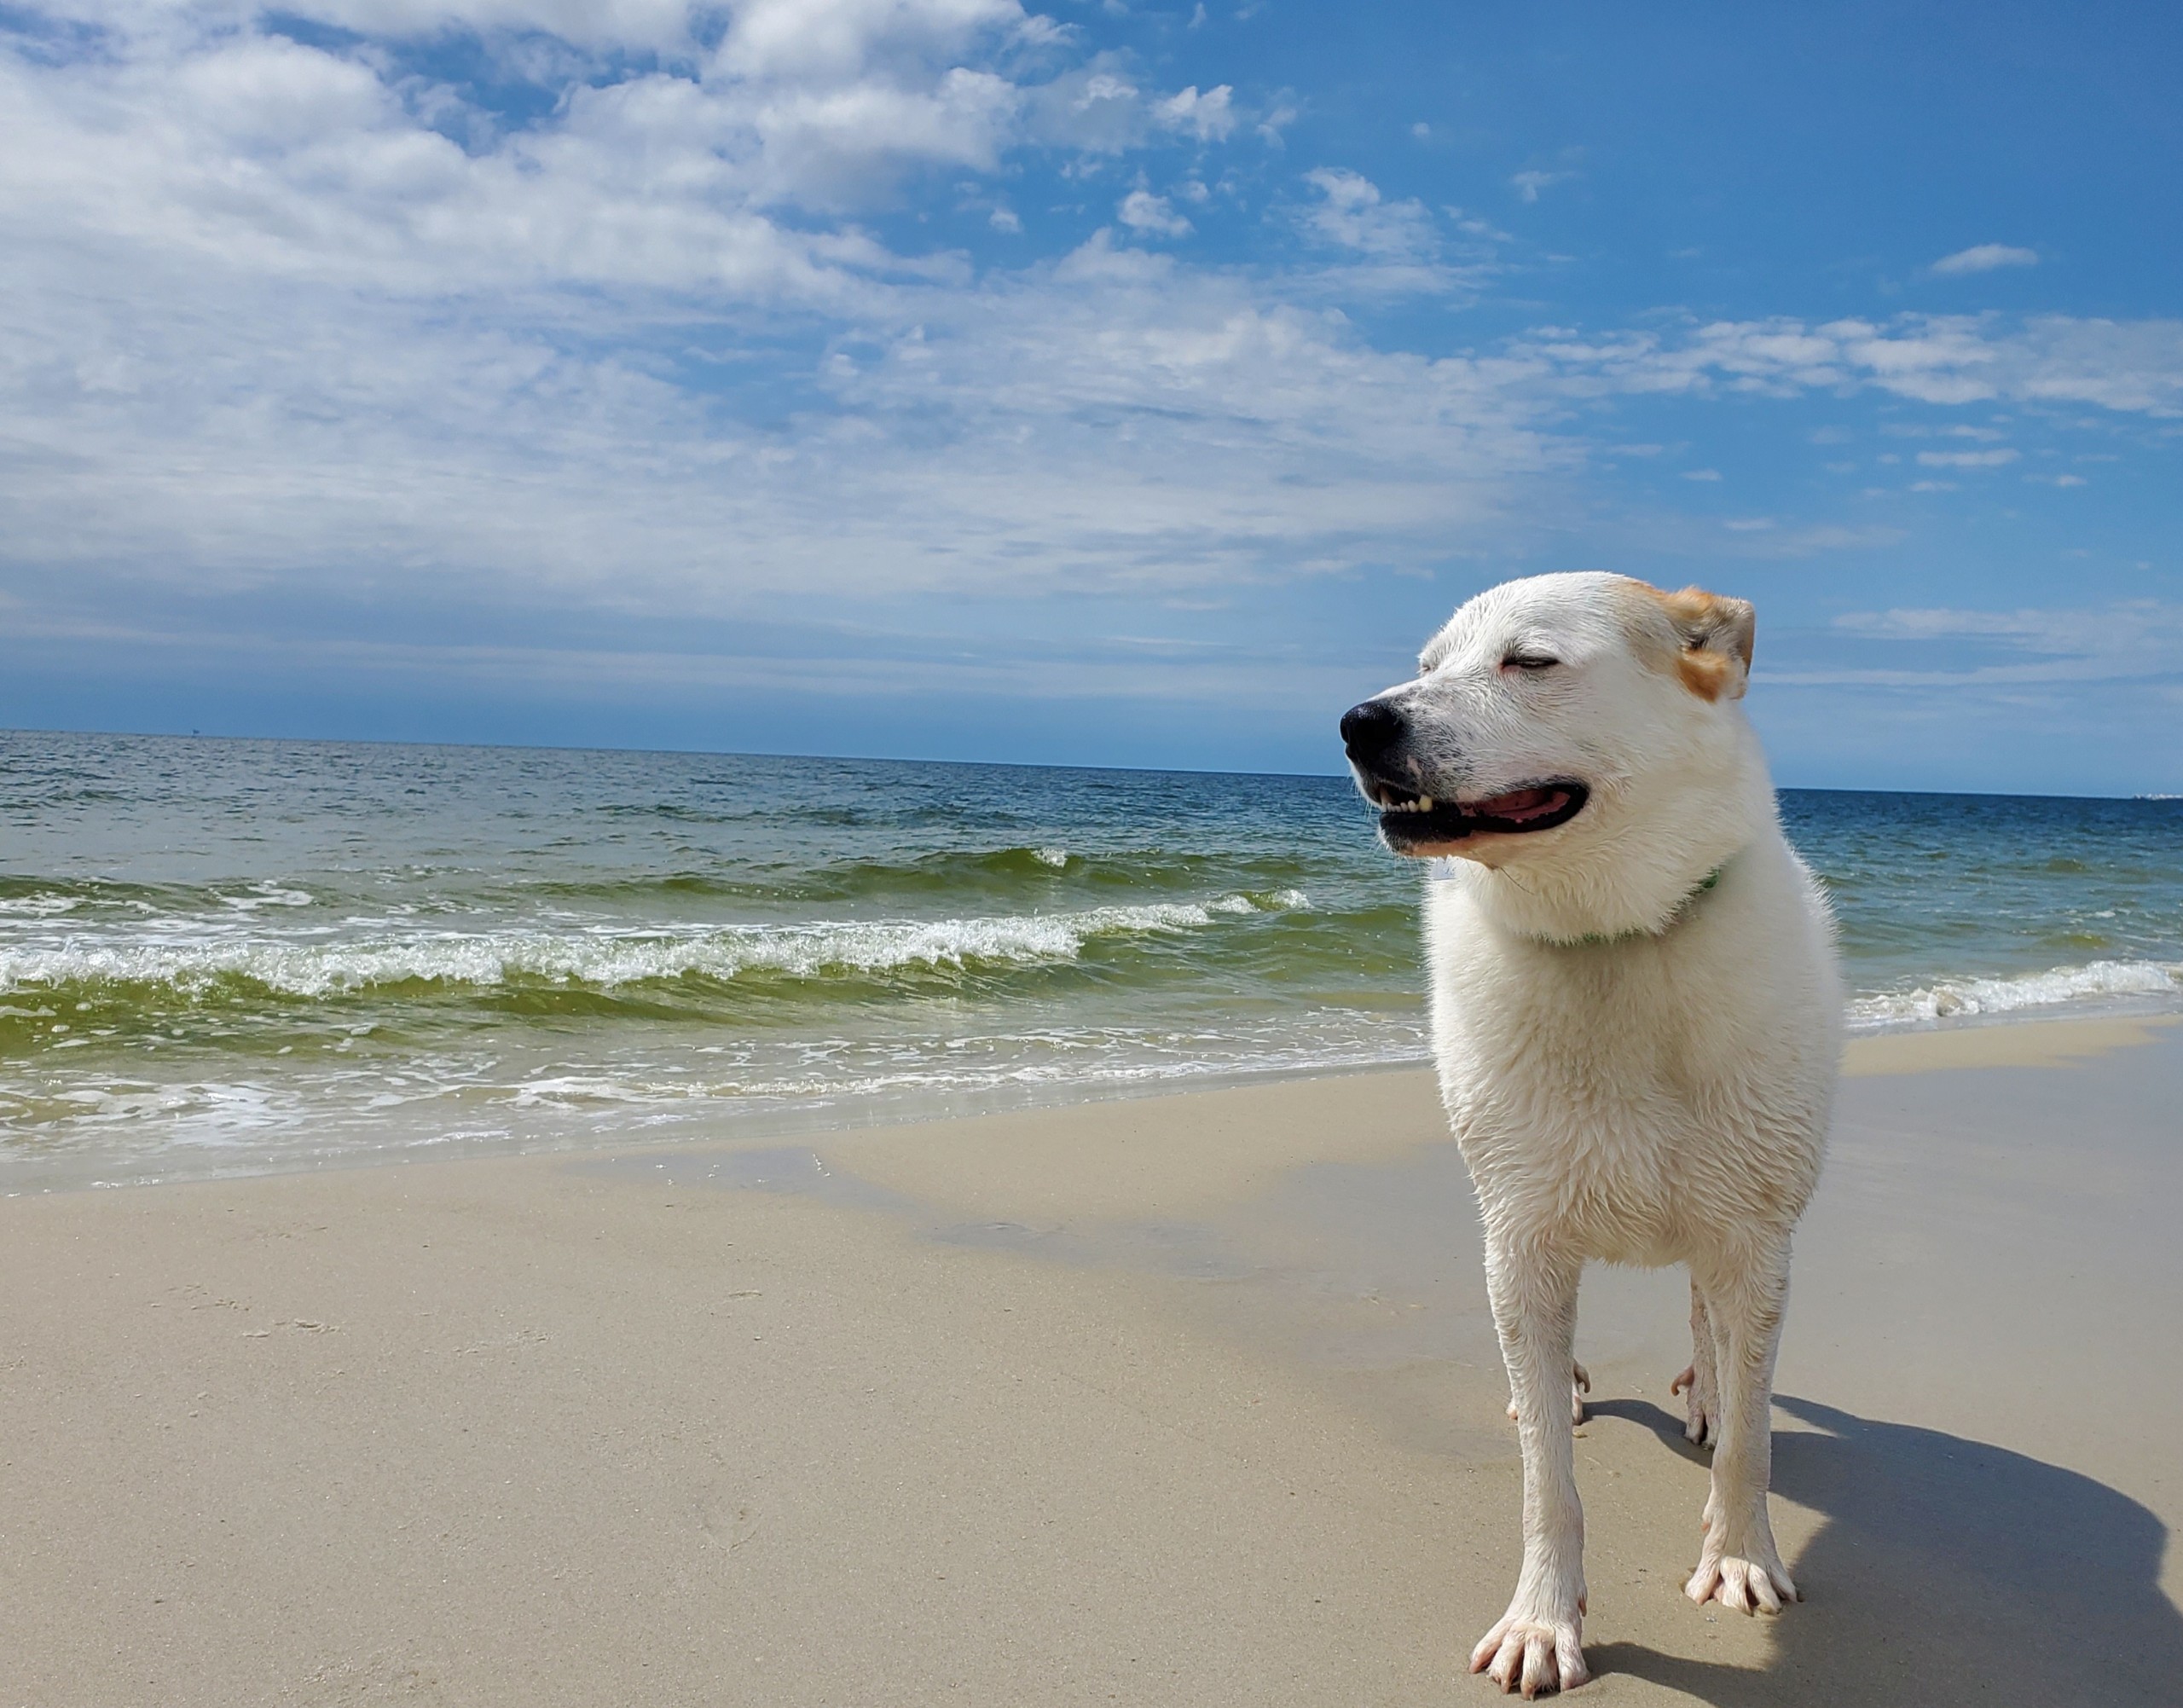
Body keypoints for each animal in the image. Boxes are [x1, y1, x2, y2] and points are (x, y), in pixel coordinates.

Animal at [1335, 576, 1833, 1694]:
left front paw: (1739, 1552)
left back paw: (1703, 1394)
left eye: (1529, 661)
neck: (1612, 941)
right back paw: (1551, 1393)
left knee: (1709, 1330)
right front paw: (1541, 1616)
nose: (1359, 722)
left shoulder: (1757, 1238)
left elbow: (1750, 1436)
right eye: (1427, 665)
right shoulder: (1523, 1240)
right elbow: (1545, 1488)